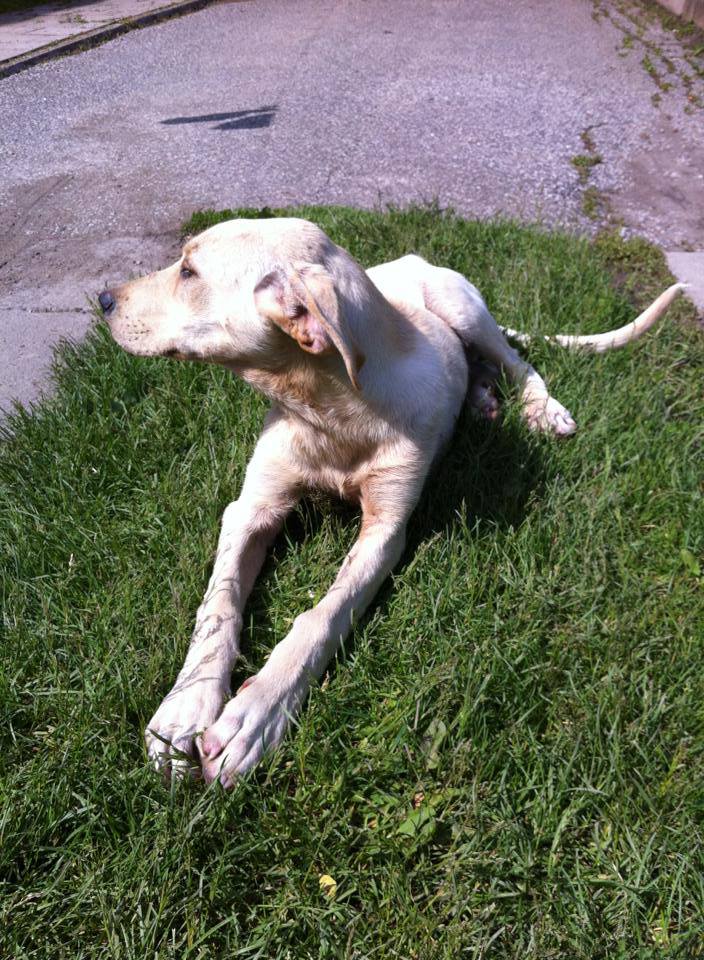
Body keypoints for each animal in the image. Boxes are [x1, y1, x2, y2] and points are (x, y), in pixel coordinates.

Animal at [98, 216, 683, 787]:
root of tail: (410, 261)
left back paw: (541, 407)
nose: (103, 299)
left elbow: (322, 617)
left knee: (518, 361)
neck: (328, 412)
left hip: (463, 307)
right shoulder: (250, 509)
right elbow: (217, 607)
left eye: (189, 272)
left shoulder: (385, 532)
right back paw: (480, 399)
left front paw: (256, 715)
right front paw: (185, 709)